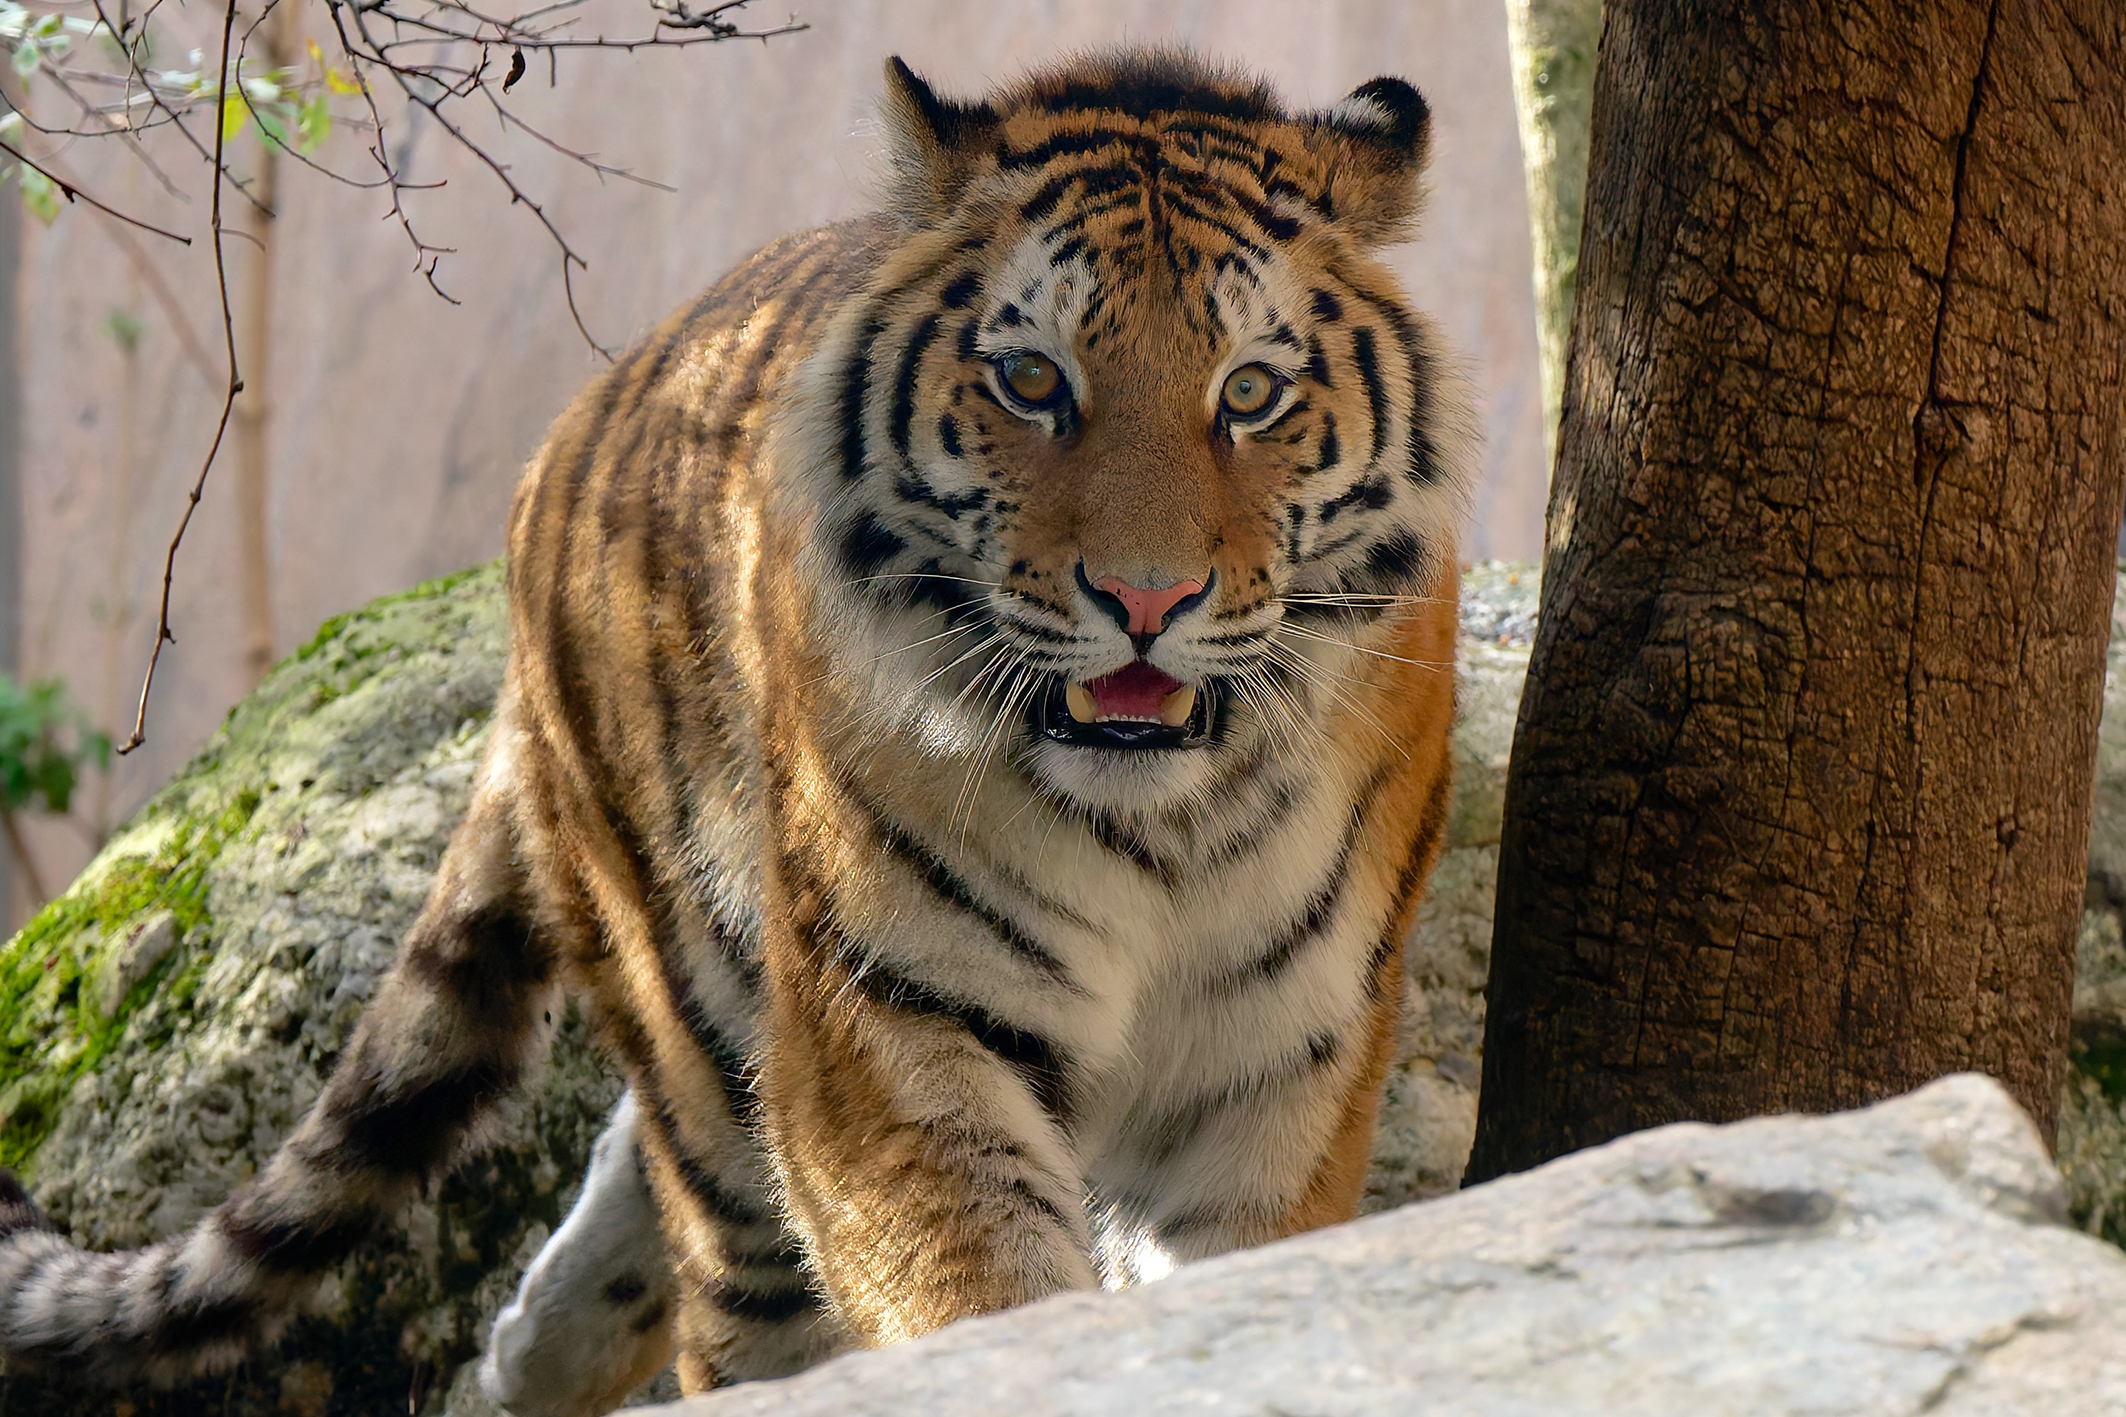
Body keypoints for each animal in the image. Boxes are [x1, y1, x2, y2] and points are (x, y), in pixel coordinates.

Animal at [0, 47, 1470, 1407]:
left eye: (1250, 393)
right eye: (1030, 379)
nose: (1146, 599)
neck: (1159, 818)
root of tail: (567, 436)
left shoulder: (1281, 1053)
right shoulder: (894, 1021)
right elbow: (974, 1298)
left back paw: (535, 1350)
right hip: (689, 973)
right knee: (727, 1241)